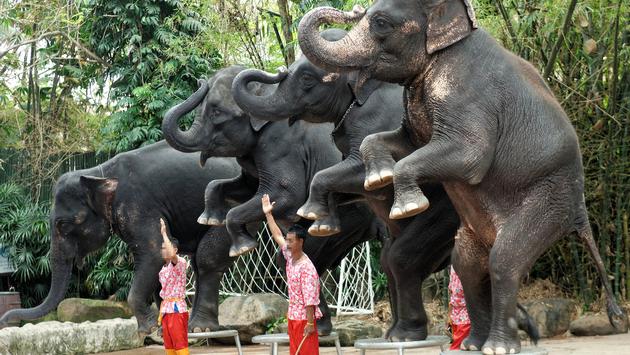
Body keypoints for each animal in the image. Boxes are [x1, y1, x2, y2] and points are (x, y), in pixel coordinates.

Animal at [0, 140, 242, 336]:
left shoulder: (137, 204)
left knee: (206, 258)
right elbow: (158, 260)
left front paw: (148, 330)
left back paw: (200, 329)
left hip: (229, 208)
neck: (97, 172)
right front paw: (161, 331)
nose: (6, 321)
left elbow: (155, 252)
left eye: (64, 225)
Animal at [160, 65, 382, 336]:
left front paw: (243, 245)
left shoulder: (280, 145)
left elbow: (286, 195)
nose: (201, 80)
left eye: (216, 112)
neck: (268, 93)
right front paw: (209, 218)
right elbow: (239, 187)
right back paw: (320, 329)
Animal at [230, 30, 462, 342]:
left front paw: (311, 215)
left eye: (307, 78)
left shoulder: (377, 123)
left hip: (447, 213)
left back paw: (404, 336)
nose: (276, 69)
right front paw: (321, 221)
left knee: (400, 258)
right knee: (391, 260)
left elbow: (367, 176)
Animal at [300, 1, 628, 354]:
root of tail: (581, 211)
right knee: (468, 264)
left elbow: (469, 156)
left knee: (505, 258)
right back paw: (473, 344)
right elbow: (405, 143)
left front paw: (407, 207)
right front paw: (377, 179)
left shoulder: (467, 94)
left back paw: (498, 347)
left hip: (552, 198)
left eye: (381, 22)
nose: (352, 9)